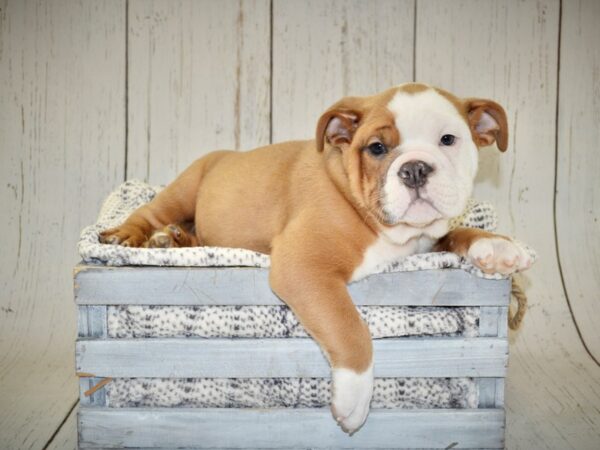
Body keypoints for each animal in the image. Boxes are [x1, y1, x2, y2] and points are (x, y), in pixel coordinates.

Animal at [101, 82, 532, 434]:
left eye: (448, 139)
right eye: (377, 148)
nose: (414, 168)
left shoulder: (429, 240)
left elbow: (457, 233)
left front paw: (495, 245)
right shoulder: (304, 266)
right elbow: (350, 328)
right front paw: (354, 397)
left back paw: (172, 239)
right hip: (185, 187)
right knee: (149, 213)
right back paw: (138, 235)